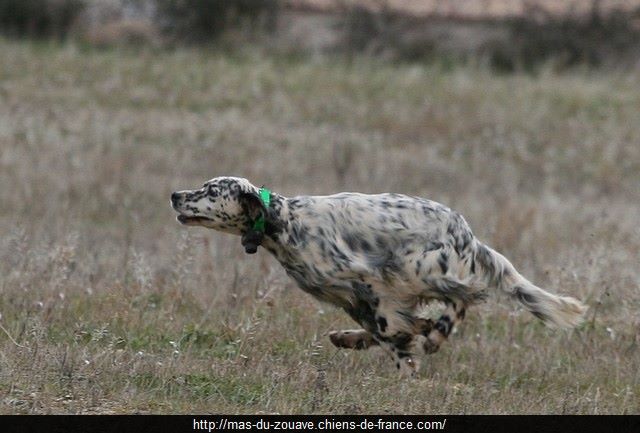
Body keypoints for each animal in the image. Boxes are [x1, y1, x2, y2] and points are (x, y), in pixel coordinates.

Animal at [169, 176, 584, 374]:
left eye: (210, 190)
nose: (174, 194)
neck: (285, 222)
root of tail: (466, 232)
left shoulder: (372, 282)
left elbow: (391, 330)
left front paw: (408, 363)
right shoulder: (353, 298)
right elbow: (384, 330)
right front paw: (363, 341)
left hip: (420, 268)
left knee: (463, 298)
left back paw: (437, 334)